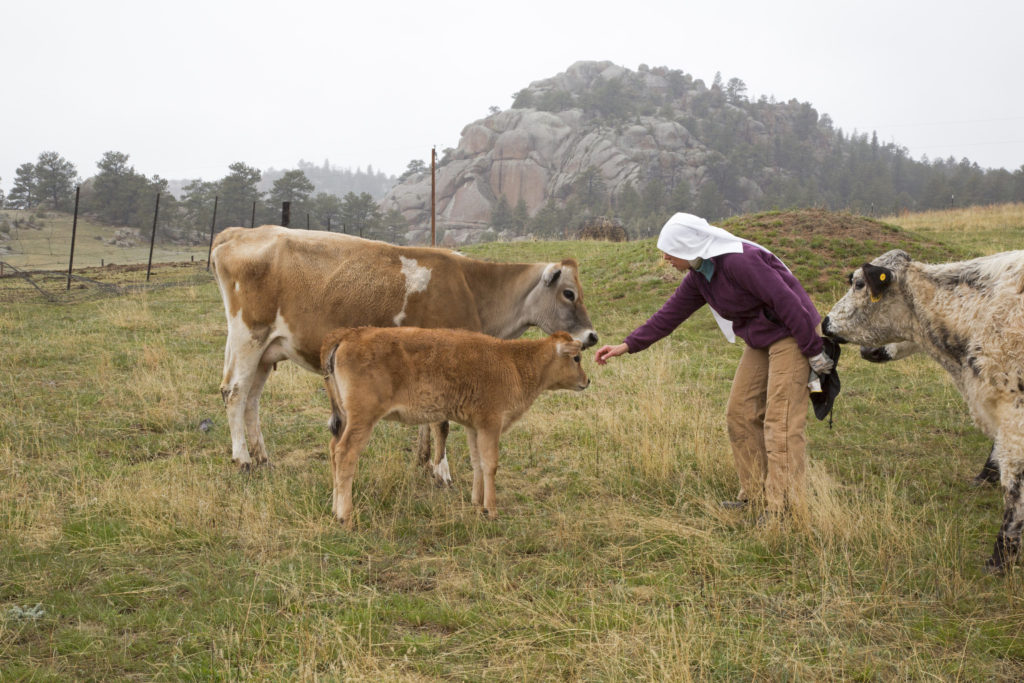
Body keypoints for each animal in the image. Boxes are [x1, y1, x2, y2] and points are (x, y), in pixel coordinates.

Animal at [211, 227, 598, 479]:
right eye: (568, 293)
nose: (591, 337)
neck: (472, 287)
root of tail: (240, 232)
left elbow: (429, 416)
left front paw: (424, 460)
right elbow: (442, 421)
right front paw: (441, 471)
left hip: (267, 349)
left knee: (251, 399)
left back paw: (262, 457)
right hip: (249, 335)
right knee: (235, 392)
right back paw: (243, 459)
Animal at [319, 327, 593, 528]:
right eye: (576, 358)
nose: (587, 380)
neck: (514, 362)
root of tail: (346, 336)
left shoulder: (475, 426)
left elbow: (477, 462)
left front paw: (477, 504)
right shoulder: (491, 424)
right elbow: (491, 464)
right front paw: (492, 510)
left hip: (346, 419)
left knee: (333, 449)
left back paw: (334, 508)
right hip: (363, 419)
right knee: (345, 454)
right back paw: (345, 516)